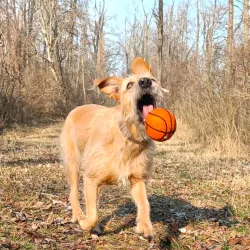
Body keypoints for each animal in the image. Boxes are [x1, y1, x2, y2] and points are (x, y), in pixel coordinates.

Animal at [59, 57, 165, 240]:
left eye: (154, 79)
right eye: (129, 85)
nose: (146, 81)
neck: (128, 137)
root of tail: (76, 109)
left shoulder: (137, 179)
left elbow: (145, 203)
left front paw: (145, 227)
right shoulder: (90, 178)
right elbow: (93, 215)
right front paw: (86, 224)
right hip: (73, 164)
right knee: (73, 193)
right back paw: (79, 216)